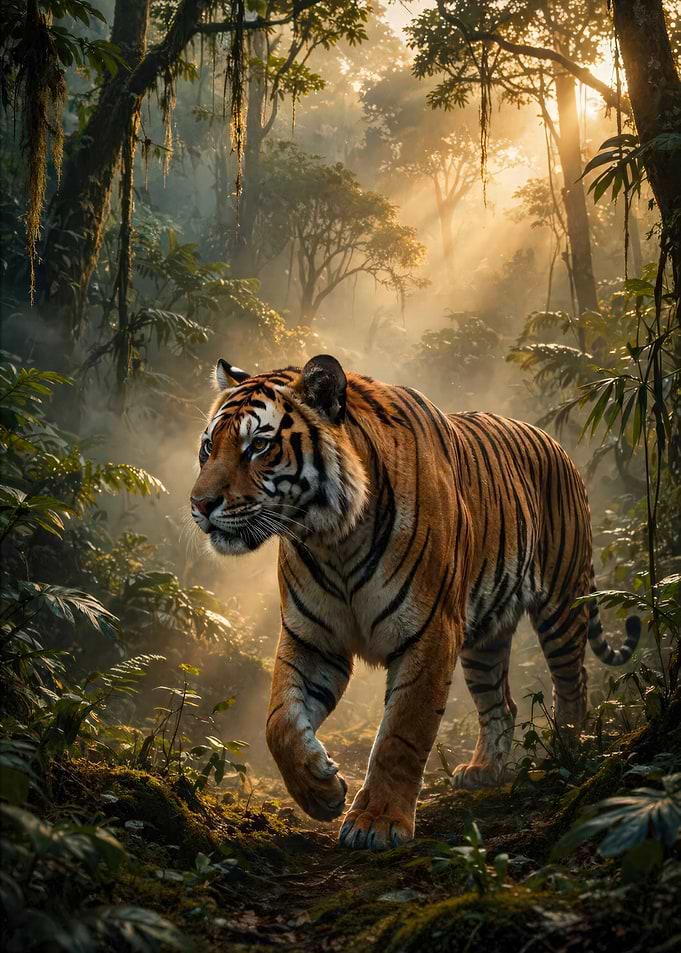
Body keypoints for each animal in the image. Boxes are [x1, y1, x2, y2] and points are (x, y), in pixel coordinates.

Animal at [190, 354, 641, 851]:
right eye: (208, 447)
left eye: (258, 446)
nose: (200, 504)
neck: (332, 539)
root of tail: (558, 445)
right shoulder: (312, 637)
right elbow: (279, 723)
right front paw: (321, 790)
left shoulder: (429, 632)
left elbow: (401, 733)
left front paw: (377, 822)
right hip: (483, 638)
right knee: (500, 701)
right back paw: (484, 770)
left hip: (562, 602)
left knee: (573, 680)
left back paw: (568, 752)